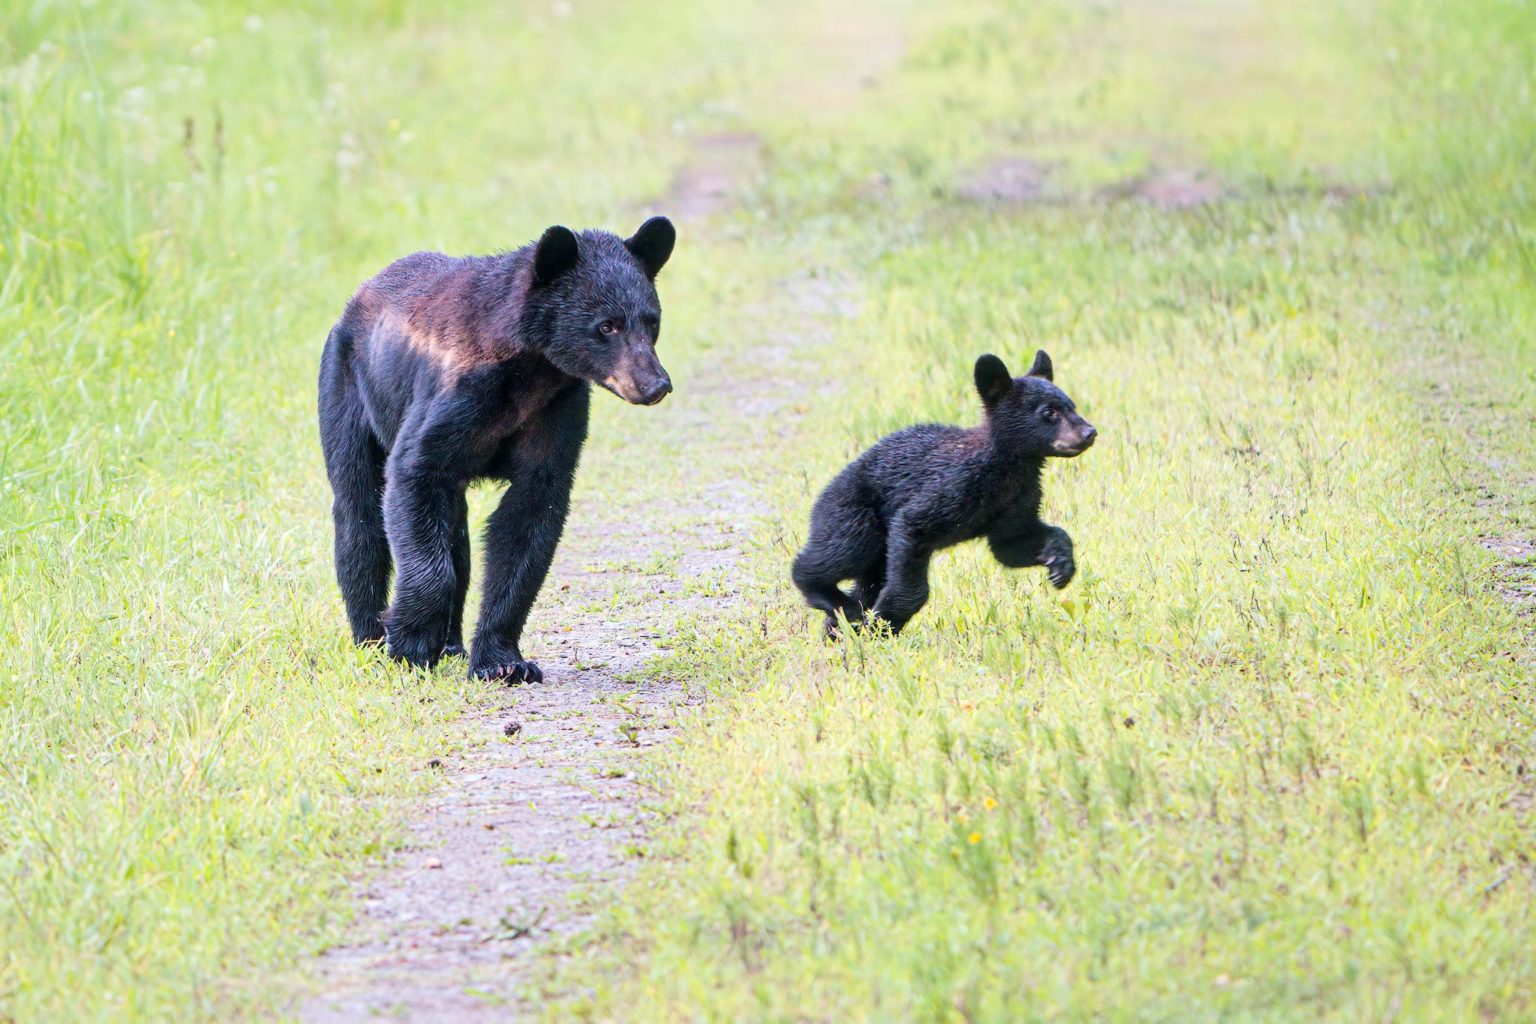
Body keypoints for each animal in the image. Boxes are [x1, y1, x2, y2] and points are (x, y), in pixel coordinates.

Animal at [321, 218, 675, 681]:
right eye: (607, 325)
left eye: (651, 322)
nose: (655, 384)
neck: (530, 371)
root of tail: (358, 295)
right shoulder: (453, 400)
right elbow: (412, 473)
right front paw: (409, 645)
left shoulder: (556, 410)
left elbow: (529, 523)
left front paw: (503, 662)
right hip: (347, 388)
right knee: (358, 513)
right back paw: (370, 638)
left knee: (454, 531)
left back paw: (450, 642)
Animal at [792, 356, 1093, 635]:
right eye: (1049, 412)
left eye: (1072, 406)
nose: (1090, 432)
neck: (1006, 469)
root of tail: (825, 491)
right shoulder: (952, 486)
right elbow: (912, 526)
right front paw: (886, 620)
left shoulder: (1017, 499)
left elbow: (1011, 545)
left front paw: (1060, 564)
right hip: (853, 515)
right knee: (836, 554)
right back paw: (840, 605)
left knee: (868, 580)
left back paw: (838, 625)